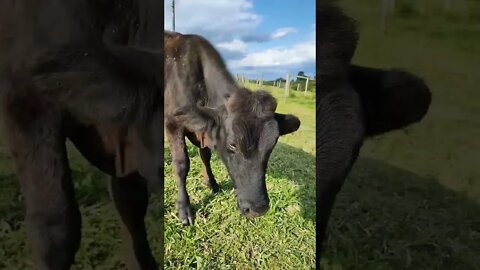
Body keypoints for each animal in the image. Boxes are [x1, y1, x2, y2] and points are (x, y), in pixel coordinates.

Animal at [164, 31, 300, 226]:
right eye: (232, 145)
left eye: (271, 146)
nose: (257, 209)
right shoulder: (173, 124)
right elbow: (182, 164)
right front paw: (184, 208)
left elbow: (205, 156)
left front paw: (212, 183)